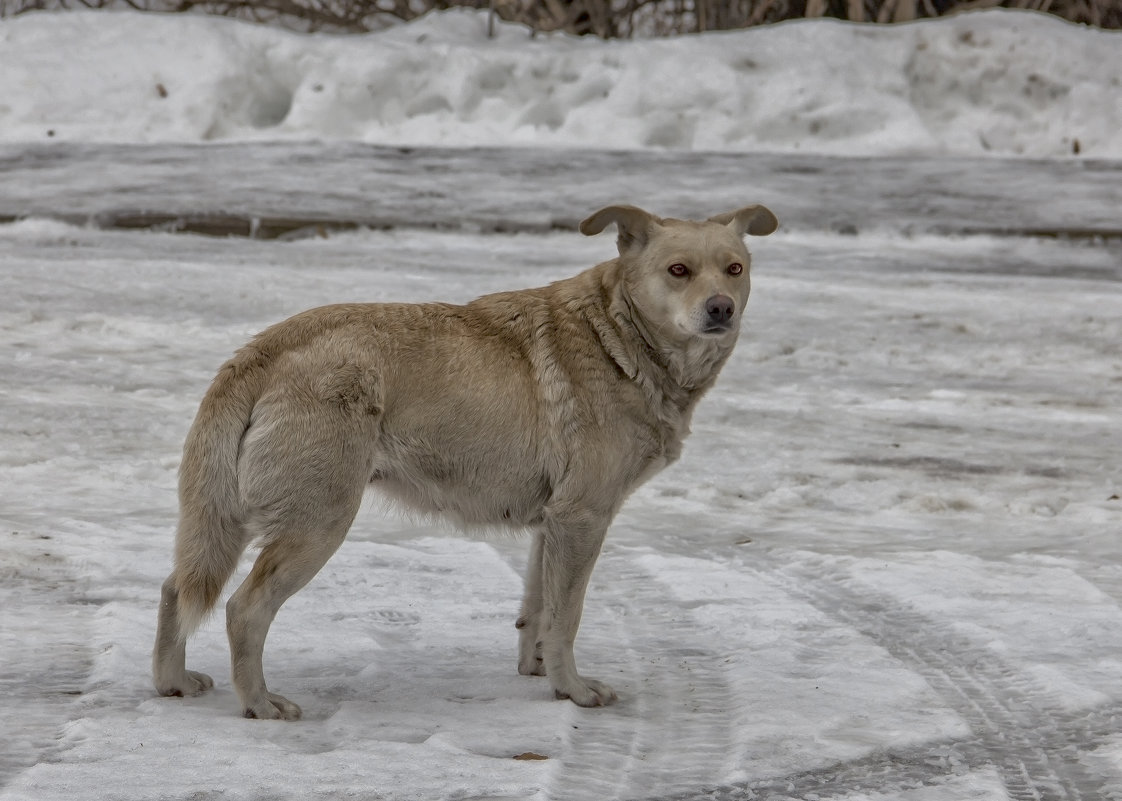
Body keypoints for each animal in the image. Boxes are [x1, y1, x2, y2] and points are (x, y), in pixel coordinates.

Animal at [151, 200, 780, 717]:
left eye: (734, 269)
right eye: (678, 271)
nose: (721, 309)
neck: (621, 338)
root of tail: (265, 348)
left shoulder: (552, 524)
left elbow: (539, 611)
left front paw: (538, 673)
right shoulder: (583, 518)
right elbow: (568, 616)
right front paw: (574, 692)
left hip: (229, 516)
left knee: (176, 588)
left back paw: (172, 683)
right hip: (317, 522)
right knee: (244, 609)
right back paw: (259, 703)